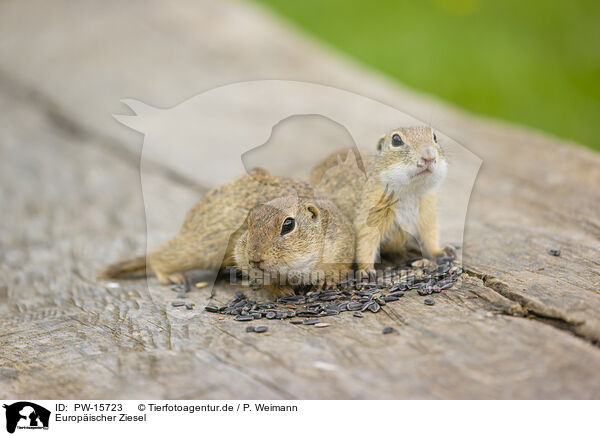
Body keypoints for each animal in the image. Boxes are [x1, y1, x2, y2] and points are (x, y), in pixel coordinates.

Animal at [312, 126, 452, 276]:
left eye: (435, 137)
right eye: (396, 140)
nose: (429, 157)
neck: (410, 191)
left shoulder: (427, 210)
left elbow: (430, 234)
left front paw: (440, 252)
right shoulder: (371, 210)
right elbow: (366, 240)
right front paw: (367, 270)